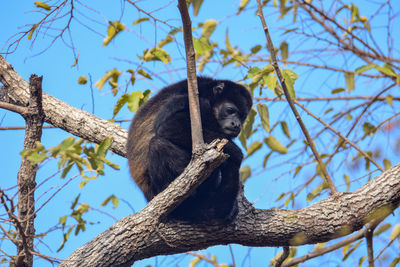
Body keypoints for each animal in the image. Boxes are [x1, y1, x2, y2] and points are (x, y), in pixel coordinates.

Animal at [126, 76, 252, 223]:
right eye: (231, 110)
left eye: (242, 117)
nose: (237, 125)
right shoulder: (190, 101)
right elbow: (168, 126)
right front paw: (236, 151)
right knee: (158, 145)